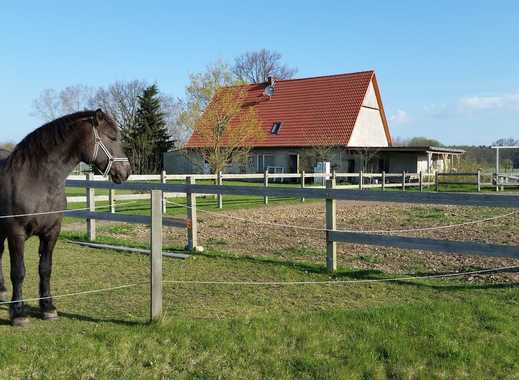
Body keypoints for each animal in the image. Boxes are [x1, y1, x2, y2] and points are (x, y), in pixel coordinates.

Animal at [0, 110, 130, 326]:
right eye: (112, 137)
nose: (126, 172)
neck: (36, 180)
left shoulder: (52, 232)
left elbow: (45, 269)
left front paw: (48, 307)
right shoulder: (16, 233)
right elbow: (18, 272)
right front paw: (18, 312)